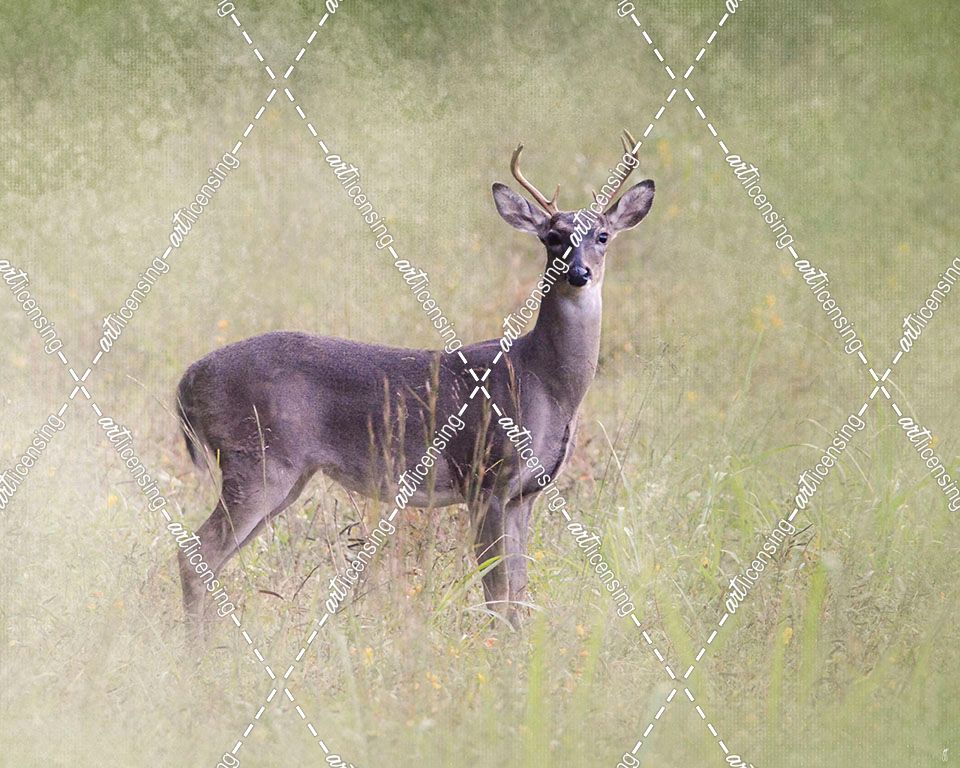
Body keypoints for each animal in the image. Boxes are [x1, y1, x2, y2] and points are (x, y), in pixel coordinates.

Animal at [176, 135, 655, 629]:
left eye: (602, 236)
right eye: (552, 237)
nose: (579, 273)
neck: (544, 383)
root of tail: (187, 380)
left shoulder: (525, 495)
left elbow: (518, 592)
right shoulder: (484, 477)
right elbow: (496, 590)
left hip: (285, 475)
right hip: (257, 459)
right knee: (196, 552)